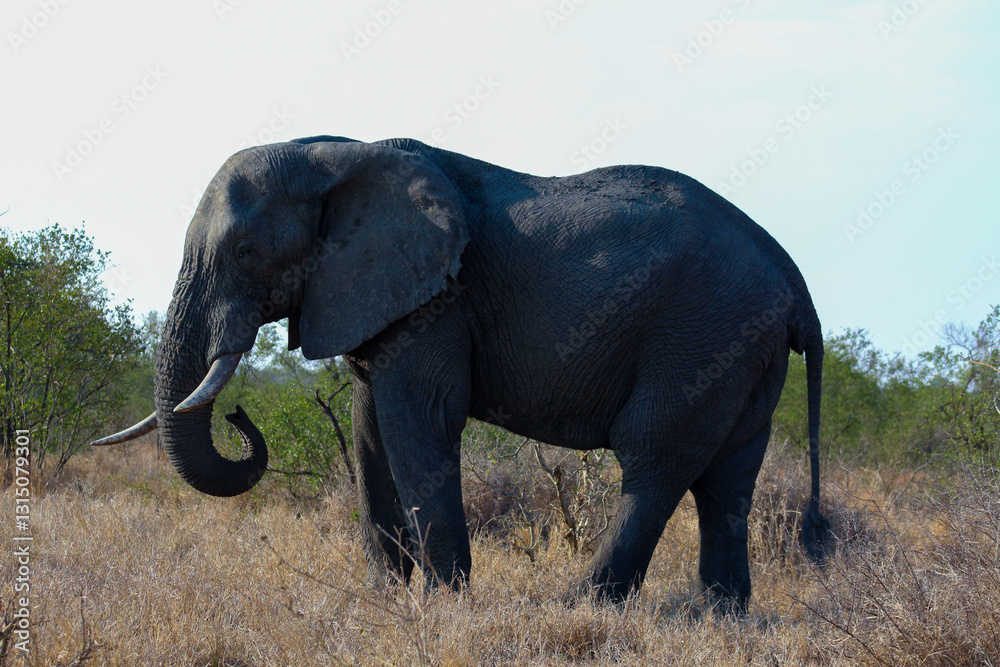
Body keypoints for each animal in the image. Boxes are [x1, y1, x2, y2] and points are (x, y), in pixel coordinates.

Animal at [97, 135, 828, 611]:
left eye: (246, 252)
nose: (236, 413)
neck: (338, 153)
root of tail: (791, 274)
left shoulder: (441, 299)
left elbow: (417, 420)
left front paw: (445, 602)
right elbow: (368, 429)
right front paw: (385, 599)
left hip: (701, 333)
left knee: (654, 460)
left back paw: (581, 606)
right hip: (742, 348)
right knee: (728, 475)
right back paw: (718, 617)